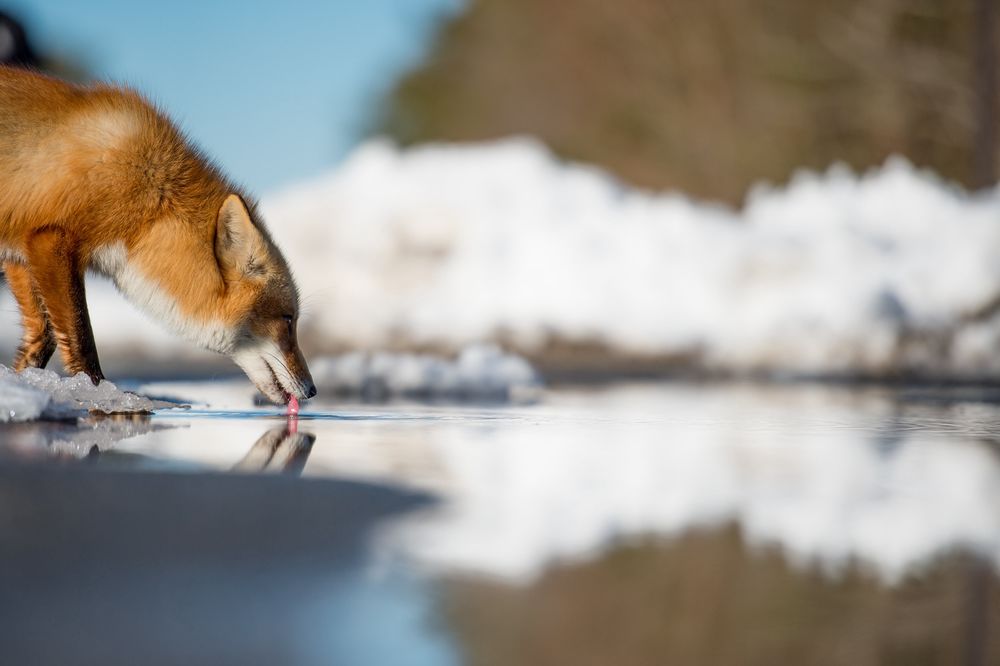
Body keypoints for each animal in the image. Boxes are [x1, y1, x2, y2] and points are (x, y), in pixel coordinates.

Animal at [0, 66, 315, 404]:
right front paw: (100, 392)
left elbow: (42, 338)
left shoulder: (19, 254)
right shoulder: (51, 240)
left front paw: (23, 383)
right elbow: (80, 337)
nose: (313, 390)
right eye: (288, 320)